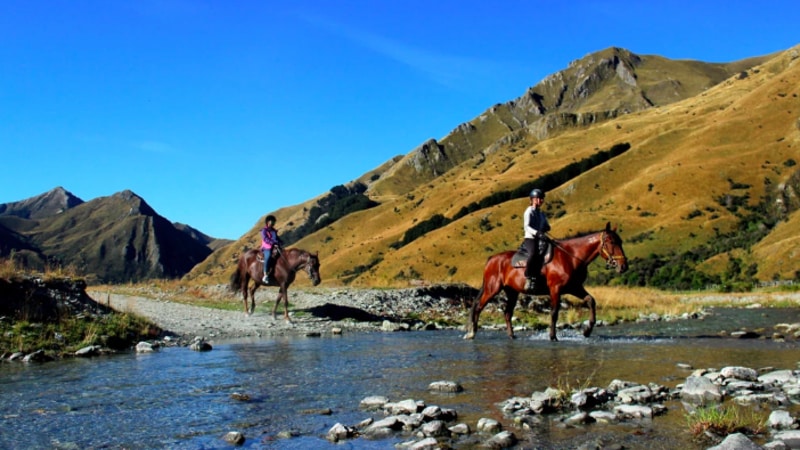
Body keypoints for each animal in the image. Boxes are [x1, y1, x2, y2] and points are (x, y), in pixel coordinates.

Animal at [466, 221, 628, 342]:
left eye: (620, 241)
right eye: (611, 242)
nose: (623, 266)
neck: (570, 257)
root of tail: (491, 259)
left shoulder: (574, 287)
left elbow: (590, 301)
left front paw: (587, 331)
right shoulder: (556, 289)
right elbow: (554, 312)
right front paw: (553, 336)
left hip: (512, 292)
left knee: (507, 313)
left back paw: (512, 336)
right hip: (492, 289)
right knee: (479, 307)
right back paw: (472, 333)